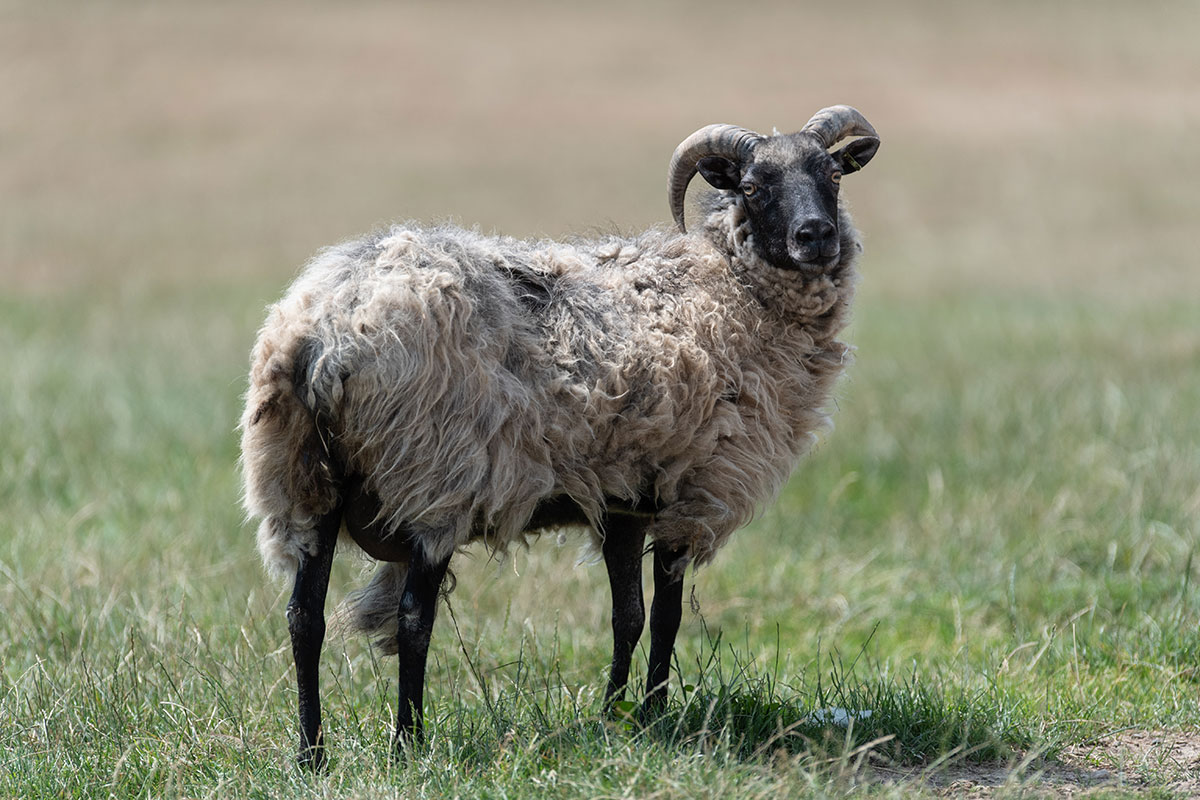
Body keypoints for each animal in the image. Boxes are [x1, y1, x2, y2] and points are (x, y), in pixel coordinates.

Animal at [241, 103, 883, 767]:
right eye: (753, 186)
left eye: (833, 174)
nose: (816, 236)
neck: (727, 290)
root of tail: (325, 333)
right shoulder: (690, 492)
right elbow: (669, 616)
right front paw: (656, 714)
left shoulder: (624, 499)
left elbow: (628, 615)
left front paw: (617, 718)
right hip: (432, 478)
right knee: (414, 617)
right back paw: (407, 744)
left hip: (303, 479)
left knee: (303, 618)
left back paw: (311, 753)